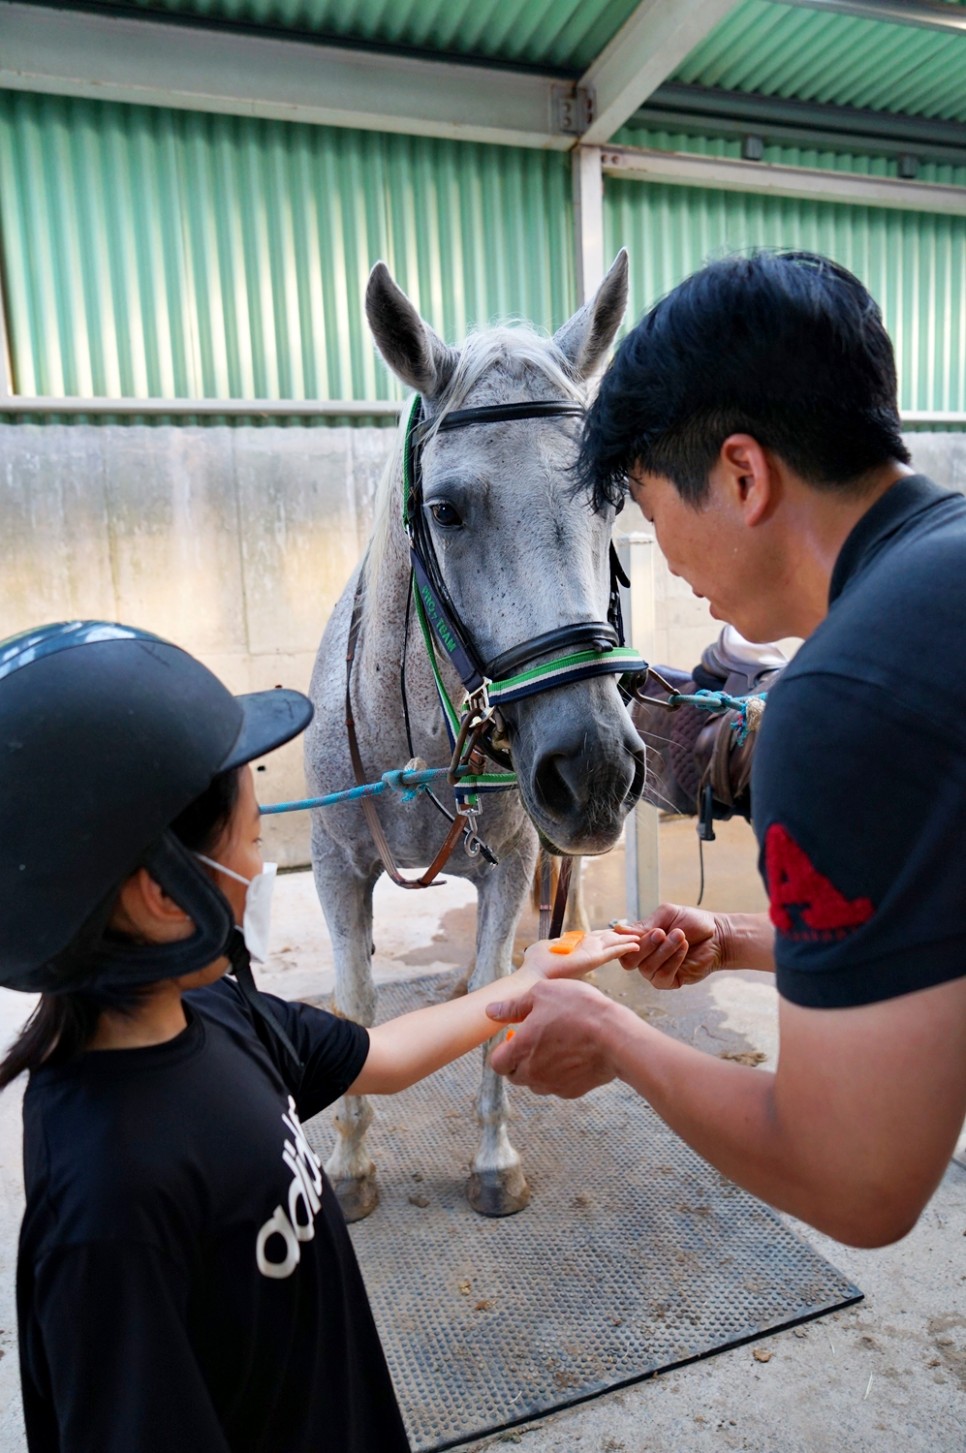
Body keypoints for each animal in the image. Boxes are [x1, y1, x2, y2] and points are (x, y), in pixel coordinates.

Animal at [305, 249, 644, 1214]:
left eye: (612, 499)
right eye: (447, 510)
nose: (594, 770)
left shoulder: (516, 855)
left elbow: (502, 990)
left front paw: (495, 1157)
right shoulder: (337, 864)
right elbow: (355, 998)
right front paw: (350, 1162)